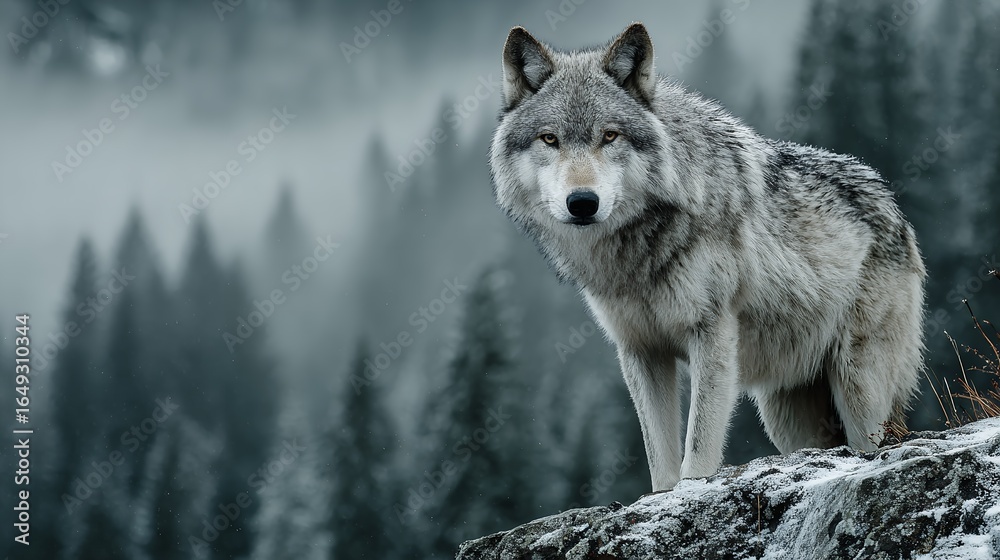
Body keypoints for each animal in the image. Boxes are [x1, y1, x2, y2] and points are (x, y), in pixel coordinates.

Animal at [489, 23, 926, 491]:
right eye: (550, 139)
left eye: (609, 135)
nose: (583, 202)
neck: (639, 249)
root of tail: (894, 206)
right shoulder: (640, 350)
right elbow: (660, 460)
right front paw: (664, 496)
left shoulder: (712, 333)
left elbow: (698, 448)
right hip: (787, 417)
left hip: (858, 392)